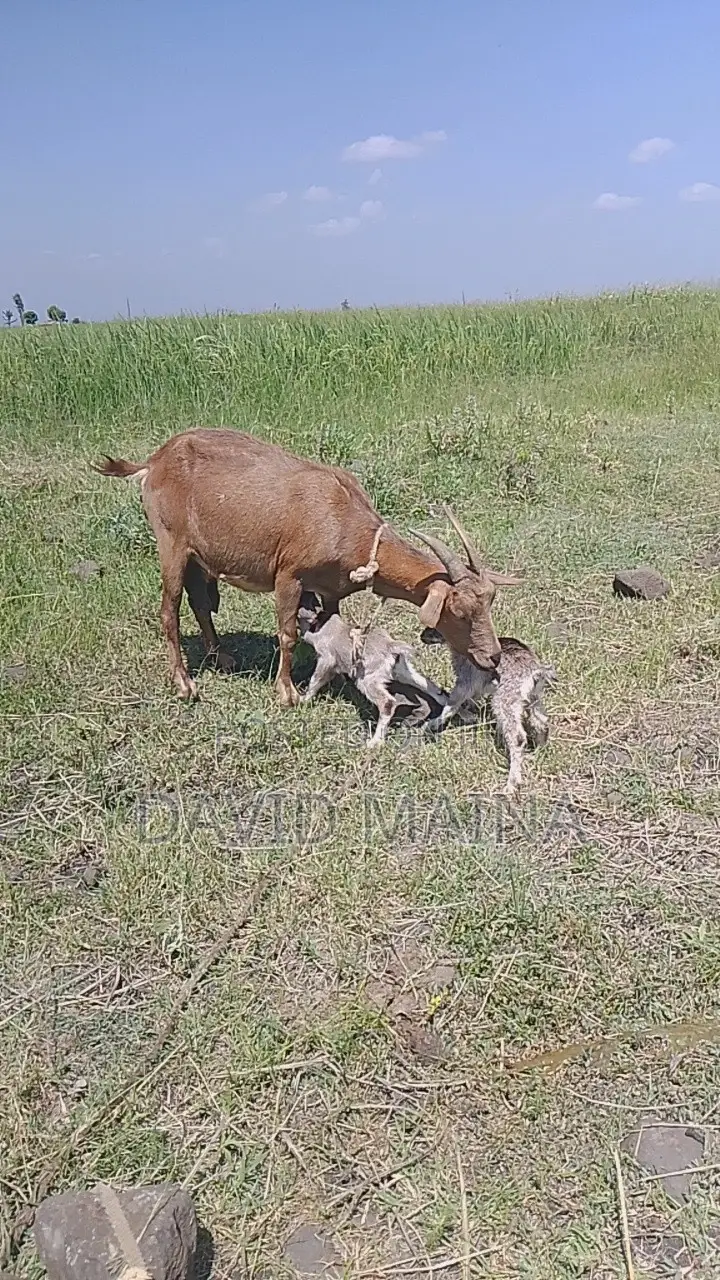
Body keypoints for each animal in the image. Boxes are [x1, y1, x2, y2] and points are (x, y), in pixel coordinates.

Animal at [92, 429, 520, 705]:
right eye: (459, 611)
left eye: (489, 603)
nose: (493, 657)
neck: (342, 520)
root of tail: (154, 460)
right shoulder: (289, 575)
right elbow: (286, 634)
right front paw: (287, 693)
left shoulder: (331, 588)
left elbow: (334, 628)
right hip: (172, 543)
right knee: (169, 610)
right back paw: (184, 684)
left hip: (201, 555)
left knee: (200, 601)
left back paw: (221, 657)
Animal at [297, 592, 447, 746]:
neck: (323, 625)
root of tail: (390, 646)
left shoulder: (326, 659)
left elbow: (315, 680)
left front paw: (303, 700)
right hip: (401, 671)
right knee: (425, 683)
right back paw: (443, 701)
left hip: (367, 680)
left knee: (387, 703)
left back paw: (375, 742)